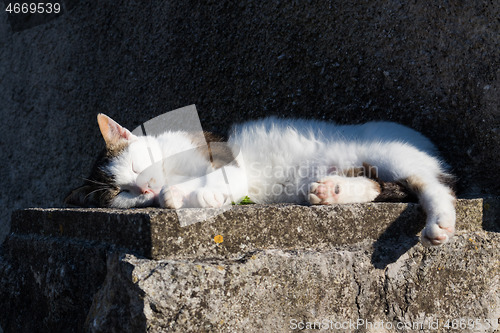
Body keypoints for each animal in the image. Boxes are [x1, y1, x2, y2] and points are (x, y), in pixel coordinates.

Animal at [66, 113, 458, 245]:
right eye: (123, 193)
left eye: (134, 167)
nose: (145, 187)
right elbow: (173, 194)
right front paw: (178, 196)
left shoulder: (223, 157)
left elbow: (221, 179)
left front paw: (204, 196)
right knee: (376, 185)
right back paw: (331, 190)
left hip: (391, 154)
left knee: (435, 187)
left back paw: (440, 224)